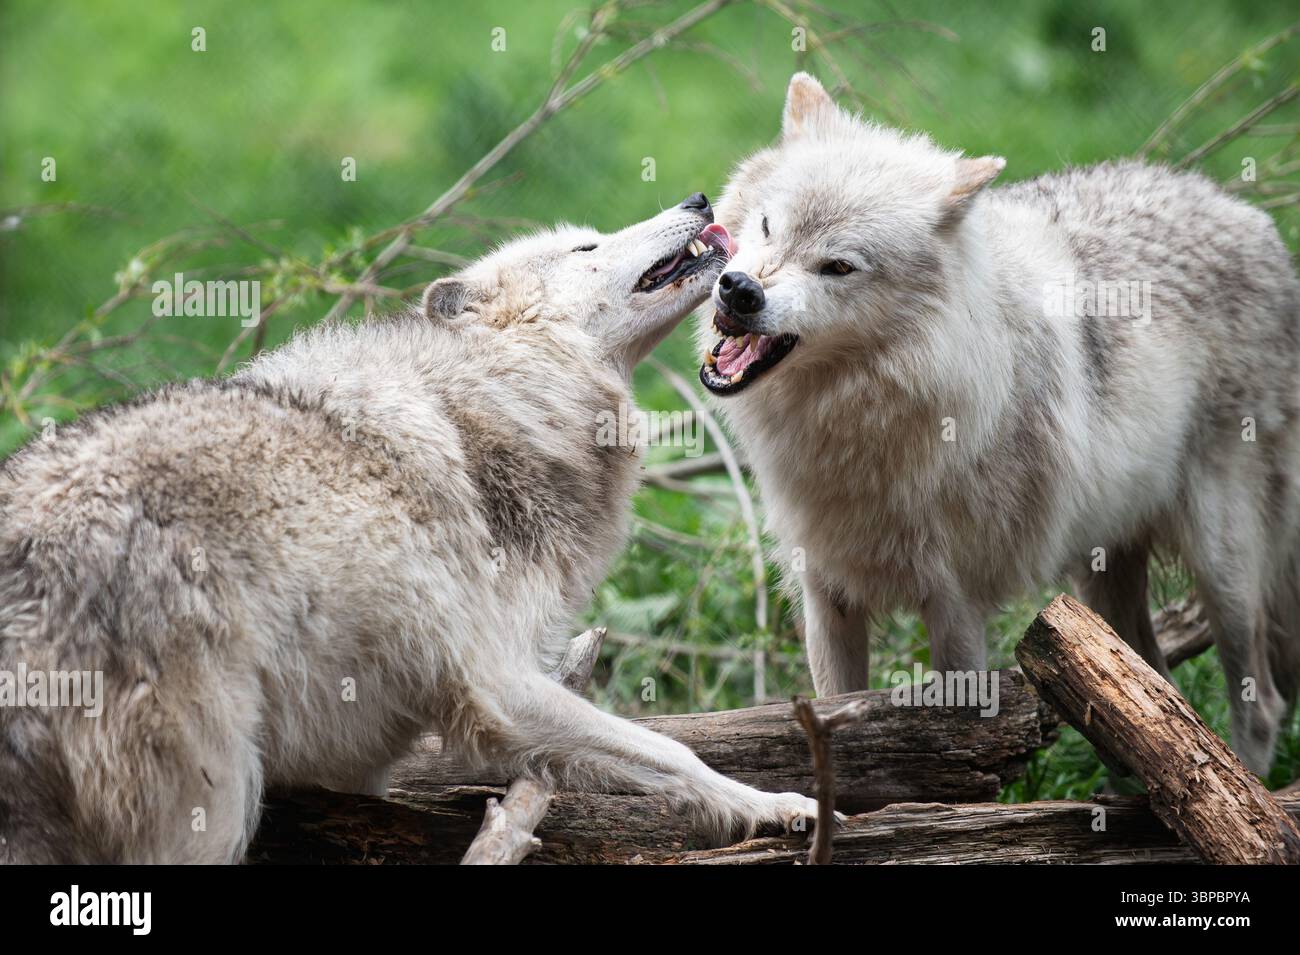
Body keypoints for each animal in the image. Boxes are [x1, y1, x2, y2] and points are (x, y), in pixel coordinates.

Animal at [0, 194, 824, 863]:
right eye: (586, 247)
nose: (698, 199)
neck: (490, 404)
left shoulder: (360, 748)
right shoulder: (496, 681)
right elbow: (674, 750)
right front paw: (777, 806)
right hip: (215, 798)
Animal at [696, 73, 1300, 774]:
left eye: (838, 266)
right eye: (770, 225)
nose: (740, 290)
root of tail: (1249, 214)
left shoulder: (956, 608)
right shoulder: (827, 598)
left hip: (1222, 563)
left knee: (1261, 704)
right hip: (1099, 581)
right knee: (1157, 696)